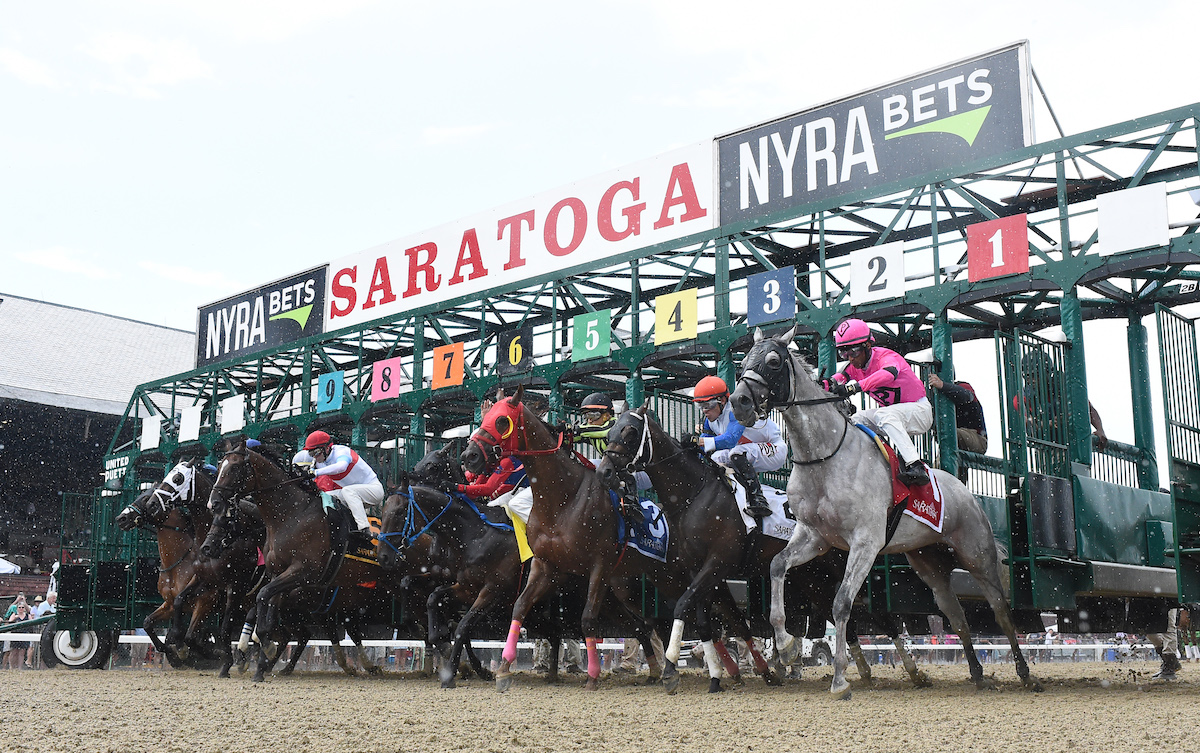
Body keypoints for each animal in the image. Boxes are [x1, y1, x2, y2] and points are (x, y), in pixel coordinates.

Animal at [460, 386, 667, 690]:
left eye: (501, 421)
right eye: (484, 419)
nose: (470, 456)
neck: (563, 497)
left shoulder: (599, 565)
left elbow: (587, 618)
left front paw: (592, 676)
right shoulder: (546, 565)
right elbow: (520, 607)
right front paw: (505, 669)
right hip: (618, 589)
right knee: (642, 625)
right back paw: (653, 670)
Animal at [729, 326, 1041, 695]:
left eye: (774, 361)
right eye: (743, 362)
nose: (739, 402)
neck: (824, 457)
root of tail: (966, 492)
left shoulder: (865, 542)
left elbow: (842, 603)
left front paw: (840, 679)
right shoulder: (814, 536)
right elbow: (778, 566)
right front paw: (787, 646)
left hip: (977, 554)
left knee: (1001, 610)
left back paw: (1025, 673)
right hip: (929, 564)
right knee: (957, 616)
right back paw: (977, 673)